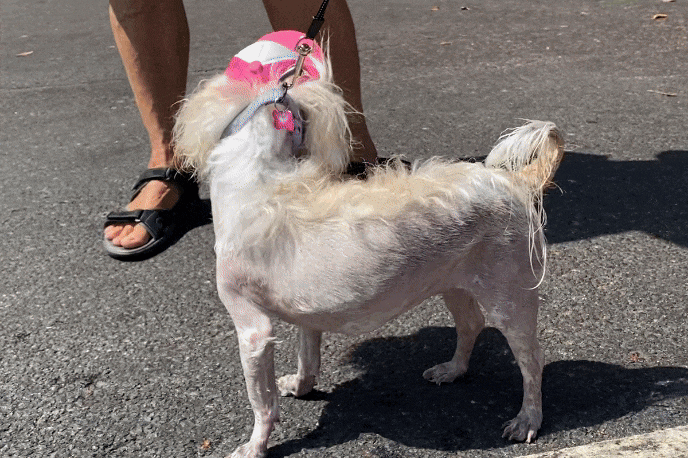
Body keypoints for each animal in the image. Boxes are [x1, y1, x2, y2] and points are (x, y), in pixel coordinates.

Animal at [173, 31, 564, 458]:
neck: (259, 172)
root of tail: (515, 181)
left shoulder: (252, 329)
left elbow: (261, 401)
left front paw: (256, 445)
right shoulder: (307, 315)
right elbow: (308, 356)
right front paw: (301, 385)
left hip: (509, 297)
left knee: (532, 360)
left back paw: (528, 418)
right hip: (455, 282)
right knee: (471, 324)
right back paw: (453, 370)